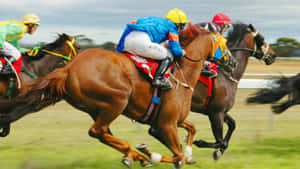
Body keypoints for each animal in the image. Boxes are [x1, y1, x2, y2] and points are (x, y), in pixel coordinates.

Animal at [0, 24, 232, 168]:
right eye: (224, 44)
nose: (232, 62)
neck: (182, 74)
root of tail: (68, 68)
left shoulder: (170, 122)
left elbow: (190, 132)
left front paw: (189, 153)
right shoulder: (165, 125)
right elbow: (178, 155)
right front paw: (152, 152)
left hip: (96, 108)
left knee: (103, 133)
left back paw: (134, 156)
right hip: (117, 100)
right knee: (98, 131)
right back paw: (137, 155)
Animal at [180, 23, 276, 160]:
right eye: (261, 39)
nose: (273, 55)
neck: (228, 74)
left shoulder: (221, 111)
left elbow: (232, 125)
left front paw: (219, 151)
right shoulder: (216, 113)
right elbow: (219, 141)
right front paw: (198, 142)